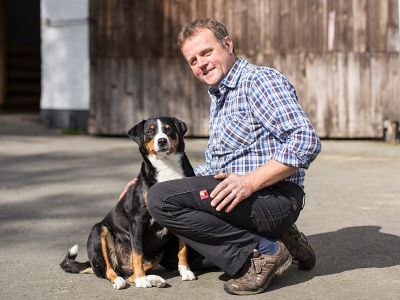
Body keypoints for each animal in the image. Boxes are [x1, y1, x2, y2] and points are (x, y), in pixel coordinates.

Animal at [60, 116, 196, 288]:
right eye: (149, 131)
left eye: (169, 129)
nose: (162, 141)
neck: (167, 168)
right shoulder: (138, 220)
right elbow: (137, 252)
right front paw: (142, 280)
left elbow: (183, 248)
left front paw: (185, 271)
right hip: (99, 230)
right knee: (109, 270)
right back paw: (123, 280)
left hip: (159, 251)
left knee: (130, 273)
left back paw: (153, 279)